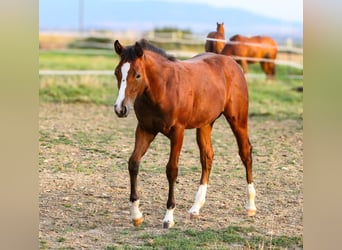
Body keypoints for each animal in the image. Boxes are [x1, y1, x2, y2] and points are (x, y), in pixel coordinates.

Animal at [113, 38, 255, 229]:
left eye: (137, 75)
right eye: (116, 73)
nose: (120, 109)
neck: (163, 89)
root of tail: (232, 63)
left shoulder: (177, 132)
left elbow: (171, 170)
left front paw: (168, 217)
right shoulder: (145, 129)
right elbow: (133, 163)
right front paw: (136, 215)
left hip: (237, 120)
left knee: (245, 152)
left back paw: (251, 206)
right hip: (205, 124)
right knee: (207, 157)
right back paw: (195, 208)